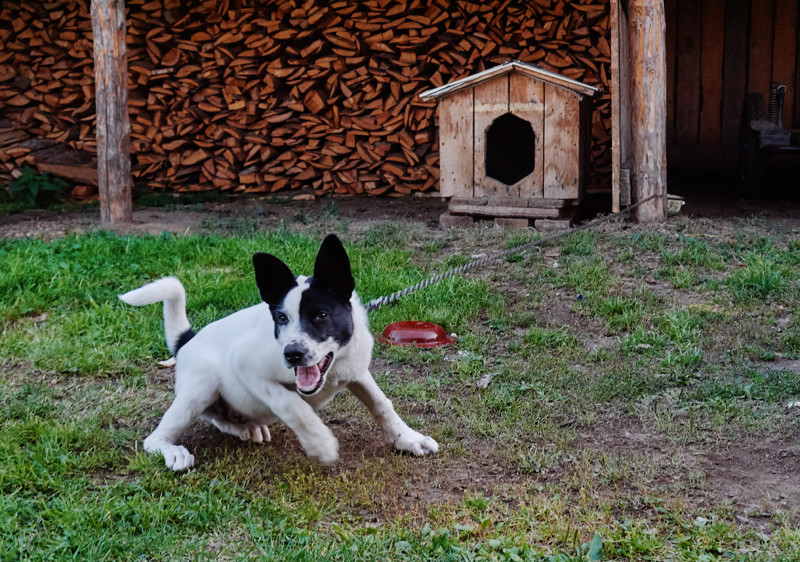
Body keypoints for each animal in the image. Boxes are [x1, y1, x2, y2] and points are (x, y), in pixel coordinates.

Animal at [120, 232, 438, 468]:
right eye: (282, 318)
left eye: (321, 315)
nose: (292, 354)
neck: (333, 370)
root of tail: (187, 339)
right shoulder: (246, 365)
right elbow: (292, 404)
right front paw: (320, 443)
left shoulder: (356, 370)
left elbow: (382, 404)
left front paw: (409, 438)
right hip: (200, 389)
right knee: (156, 437)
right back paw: (174, 450)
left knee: (219, 418)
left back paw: (244, 427)